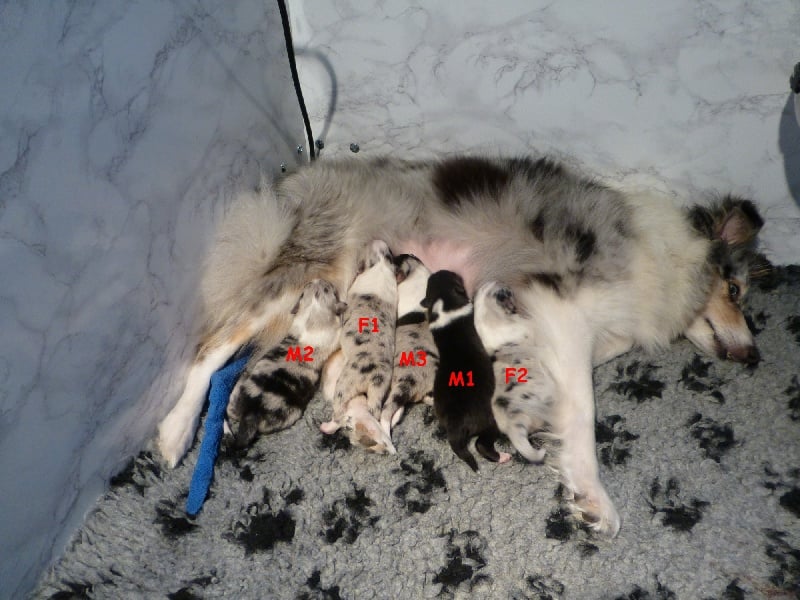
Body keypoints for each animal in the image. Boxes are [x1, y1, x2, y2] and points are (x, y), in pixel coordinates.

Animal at [227, 278, 348, 448]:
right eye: (327, 289)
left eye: (303, 293)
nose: (316, 279)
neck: (311, 311)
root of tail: (249, 414)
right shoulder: (333, 336)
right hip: (290, 415)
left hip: (237, 403)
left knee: (229, 408)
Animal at [320, 239, 398, 454]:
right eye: (389, 253)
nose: (377, 239)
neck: (380, 264)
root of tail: (373, 374)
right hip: (379, 391)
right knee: (376, 412)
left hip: (344, 385)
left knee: (339, 412)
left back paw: (328, 426)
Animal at [418, 270, 512, 472]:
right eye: (452, 276)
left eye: (436, 278)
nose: (443, 270)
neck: (442, 301)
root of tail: (455, 425)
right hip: (490, 420)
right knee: (481, 445)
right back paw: (502, 457)